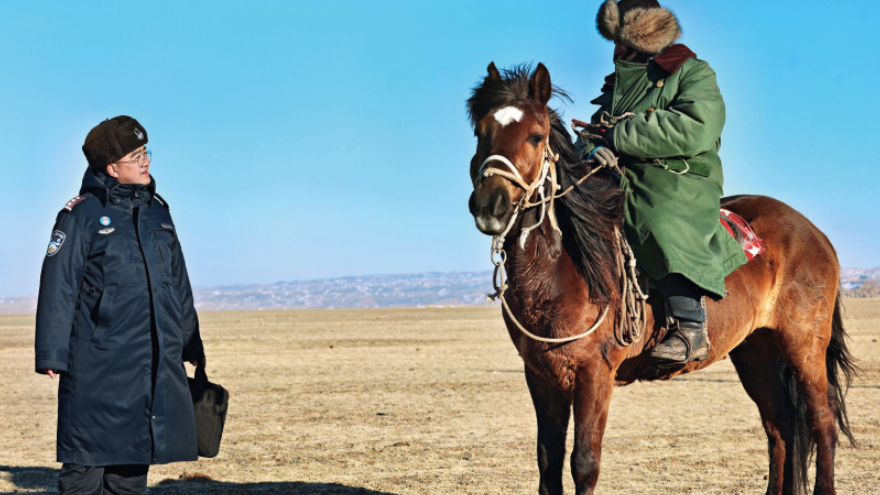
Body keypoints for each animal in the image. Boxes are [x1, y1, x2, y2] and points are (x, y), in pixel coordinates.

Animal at [466, 62, 856, 495]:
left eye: (536, 136)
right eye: (480, 131)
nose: (490, 205)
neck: (562, 272)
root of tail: (813, 232)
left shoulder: (594, 375)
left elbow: (583, 463)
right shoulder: (540, 377)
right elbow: (548, 464)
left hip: (804, 343)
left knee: (822, 420)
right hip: (756, 349)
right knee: (781, 426)